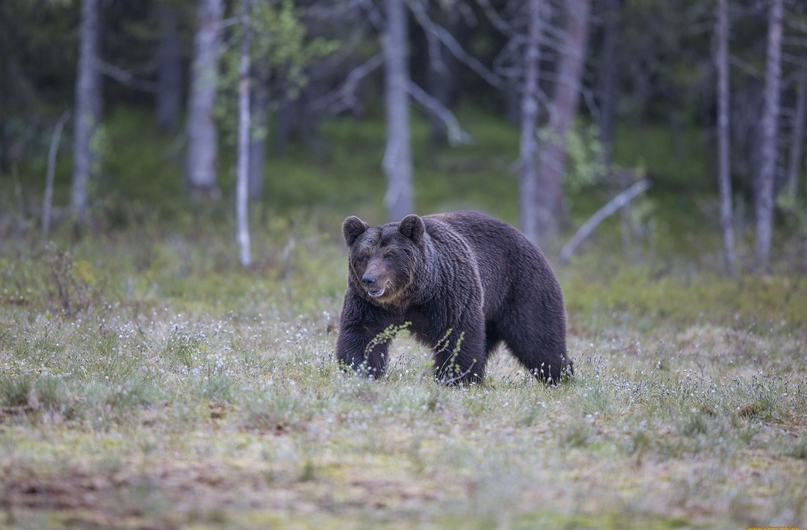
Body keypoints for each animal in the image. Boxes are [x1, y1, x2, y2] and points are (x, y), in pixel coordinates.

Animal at [338, 209, 572, 384]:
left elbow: (458, 333)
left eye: (389, 255)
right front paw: (358, 369)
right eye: (364, 255)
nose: (370, 279)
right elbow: (363, 334)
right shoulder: (369, 304)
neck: (410, 297)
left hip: (521, 288)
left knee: (537, 337)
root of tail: (529, 241)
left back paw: (559, 374)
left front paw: (454, 377)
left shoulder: (448, 293)